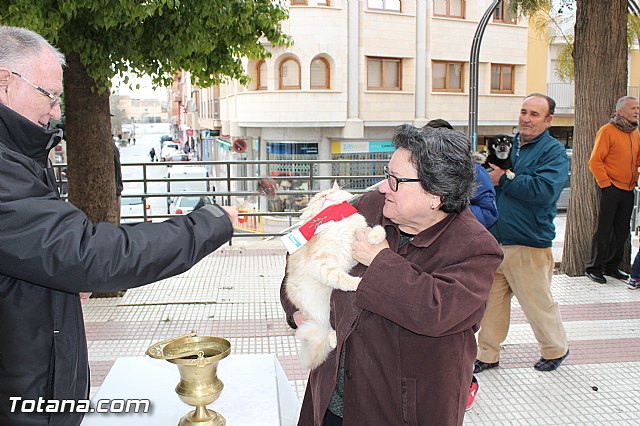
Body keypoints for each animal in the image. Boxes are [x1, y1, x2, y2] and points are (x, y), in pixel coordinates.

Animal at [284, 184, 384, 370]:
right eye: (319, 197)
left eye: (329, 192)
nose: (325, 196)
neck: (337, 221)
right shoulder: (322, 263)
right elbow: (340, 277)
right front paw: (357, 283)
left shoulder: (354, 250)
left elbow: (378, 229)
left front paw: (374, 239)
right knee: (329, 326)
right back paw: (332, 338)